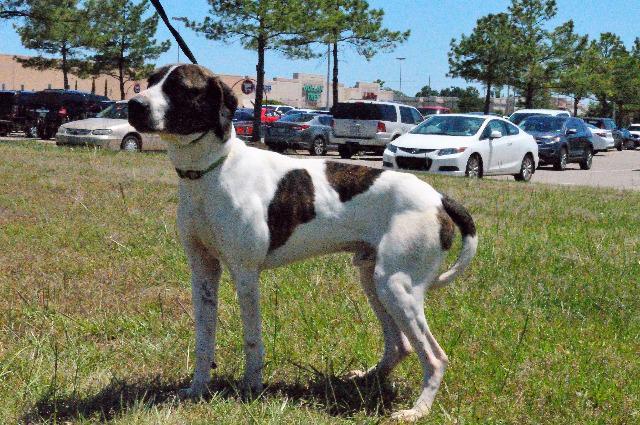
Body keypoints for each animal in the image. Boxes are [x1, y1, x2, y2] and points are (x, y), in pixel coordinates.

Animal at [130, 63, 478, 420]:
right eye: (149, 82)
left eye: (180, 87)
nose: (133, 105)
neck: (212, 171)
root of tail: (438, 197)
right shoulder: (203, 272)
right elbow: (203, 340)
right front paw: (198, 389)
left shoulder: (245, 274)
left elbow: (252, 340)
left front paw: (251, 389)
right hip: (374, 281)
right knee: (400, 345)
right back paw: (364, 380)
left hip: (396, 287)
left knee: (435, 357)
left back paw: (417, 411)